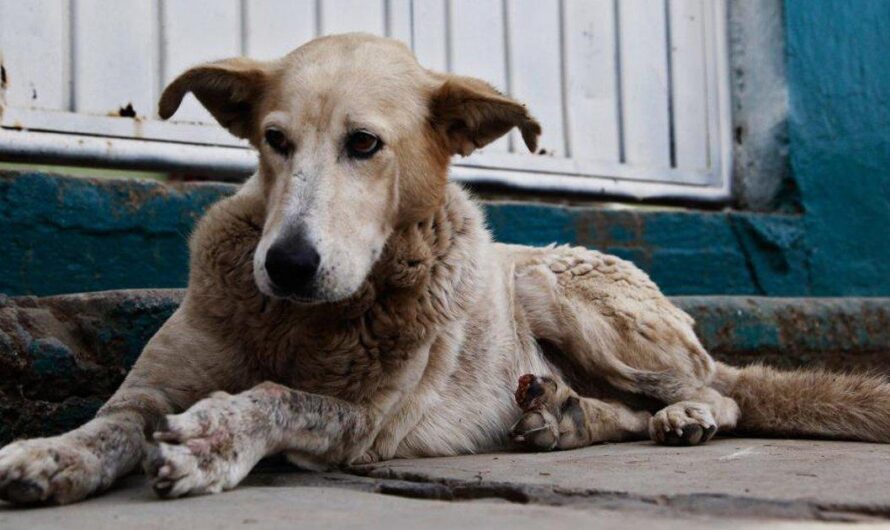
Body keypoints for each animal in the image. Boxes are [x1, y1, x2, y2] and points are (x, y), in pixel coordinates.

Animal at [1, 33, 888, 504]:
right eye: (274, 141)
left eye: (364, 144)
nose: (285, 265)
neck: (296, 323)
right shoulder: (153, 385)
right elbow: (113, 420)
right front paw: (51, 454)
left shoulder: (363, 424)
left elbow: (282, 398)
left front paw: (217, 434)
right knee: (626, 411)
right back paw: (565, 418)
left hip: (558, 290)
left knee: (721, 391)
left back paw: (687, 415)